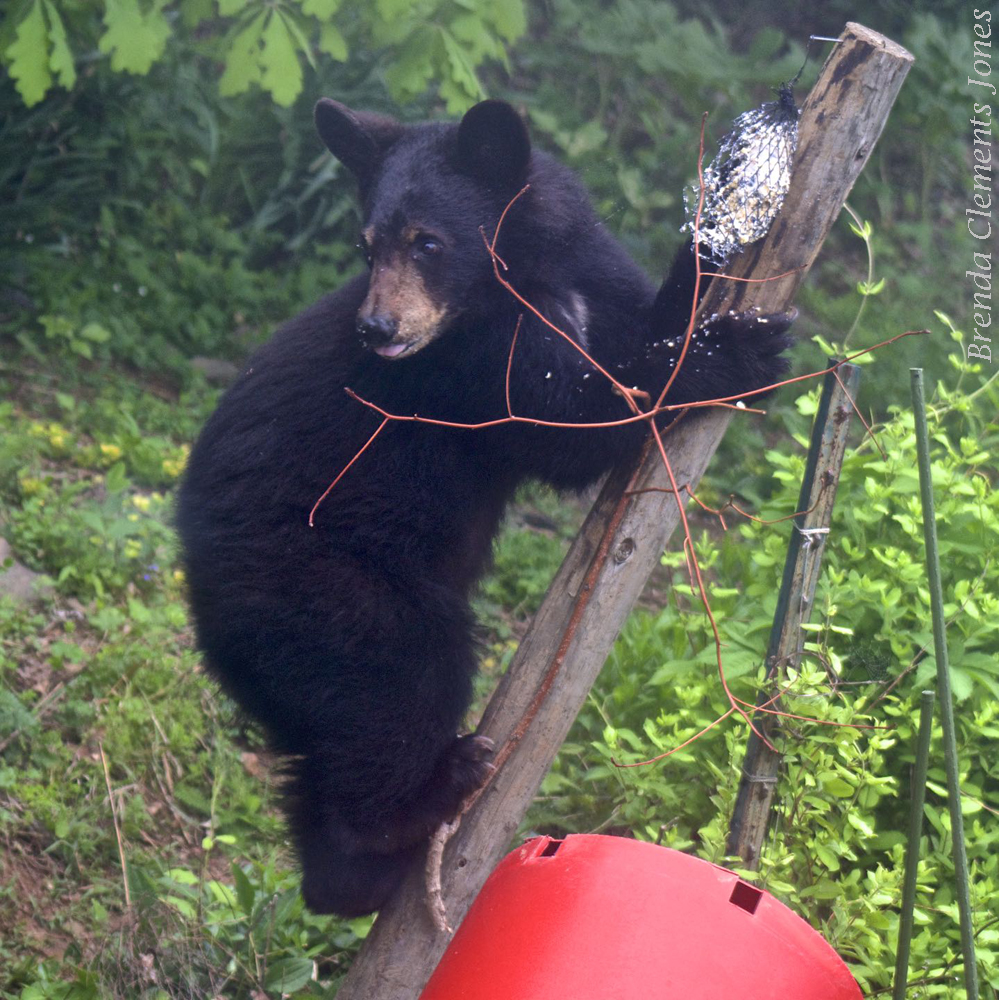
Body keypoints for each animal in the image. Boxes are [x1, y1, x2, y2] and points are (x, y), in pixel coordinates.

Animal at [175, 98, 793, 918]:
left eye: (426, 242)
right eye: (366, 247)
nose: (376, 329)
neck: (526, 282)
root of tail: (205, 614)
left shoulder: (593, 285)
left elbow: (641, 322)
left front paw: (728, 200)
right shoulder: (474, 366)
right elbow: (576, 423)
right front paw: (736, 352)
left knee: (327, 748)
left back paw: (348, 877)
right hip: (326, 587)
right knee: (402, 680)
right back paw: (425, 799)